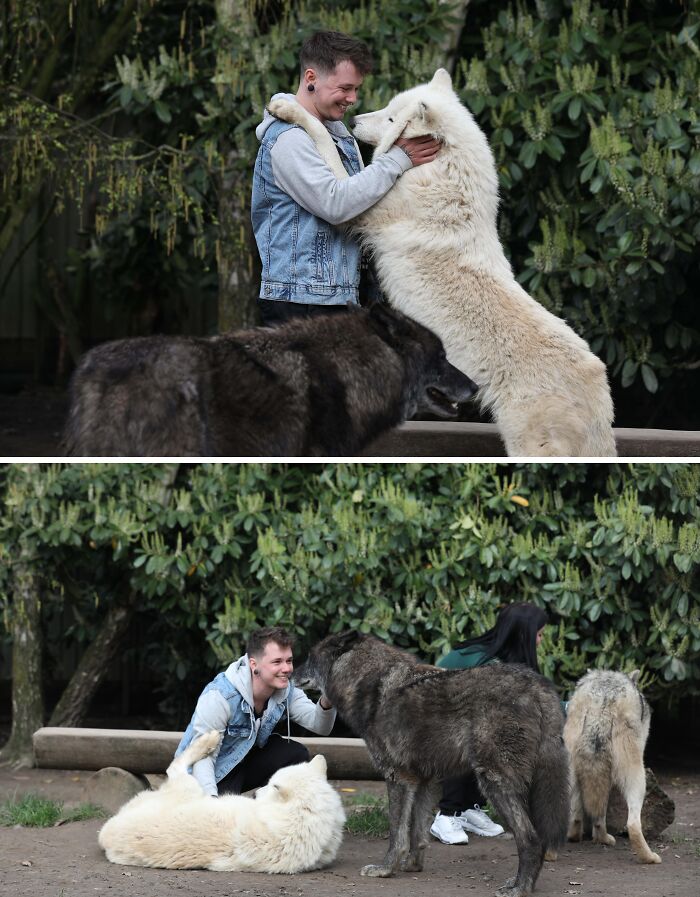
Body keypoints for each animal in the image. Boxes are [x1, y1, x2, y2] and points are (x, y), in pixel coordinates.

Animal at [98, 730, 346, 872]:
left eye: (270, 785)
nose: (255, 795)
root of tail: (107, 833)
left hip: (189, 789)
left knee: (175, 767)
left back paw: (209, 739)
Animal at [268, 71, 616, 457]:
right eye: (387, 109)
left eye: (391, 118)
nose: (354, 120)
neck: (443, 176)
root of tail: (600, 392)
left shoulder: (350, 209)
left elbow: (322, 140)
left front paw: (286, 108)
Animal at [294, 632, 569, 897]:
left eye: (309, 657)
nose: (291, 673)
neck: (369, 682)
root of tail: (539, 687)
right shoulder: (424, 780)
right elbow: (417, 831)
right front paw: (412, 865)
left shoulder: (398, 778)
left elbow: (397, 833)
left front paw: (385, 869)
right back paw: (523, 883)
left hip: (495, 783)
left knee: (530, 839)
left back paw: (519, 888)